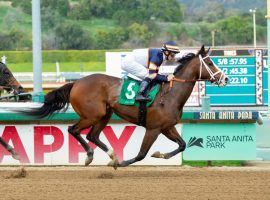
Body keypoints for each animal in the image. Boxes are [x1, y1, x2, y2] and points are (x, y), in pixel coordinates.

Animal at [20, 46, 228, 168]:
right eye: (210, 62)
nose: (225, 79)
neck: (171, 94)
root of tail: (76, 82)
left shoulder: (167, 126)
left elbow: (183, 145)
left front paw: (160, 154)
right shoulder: (153, 128)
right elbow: (142, 154)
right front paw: (123, 163)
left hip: (104, 115)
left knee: (92, 135)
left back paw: (112, 155)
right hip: (91, 115)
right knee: (74, 130)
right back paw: (92, 156)